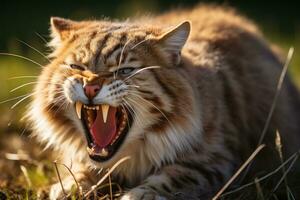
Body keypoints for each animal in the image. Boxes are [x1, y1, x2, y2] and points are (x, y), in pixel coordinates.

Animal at [27, 3, 300, 200]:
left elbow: (172, 177)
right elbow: (82, 168)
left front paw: (138, 195)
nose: (90, 86)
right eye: (77, 67)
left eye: (125, 71)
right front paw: (70, 186)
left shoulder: (216, 158)